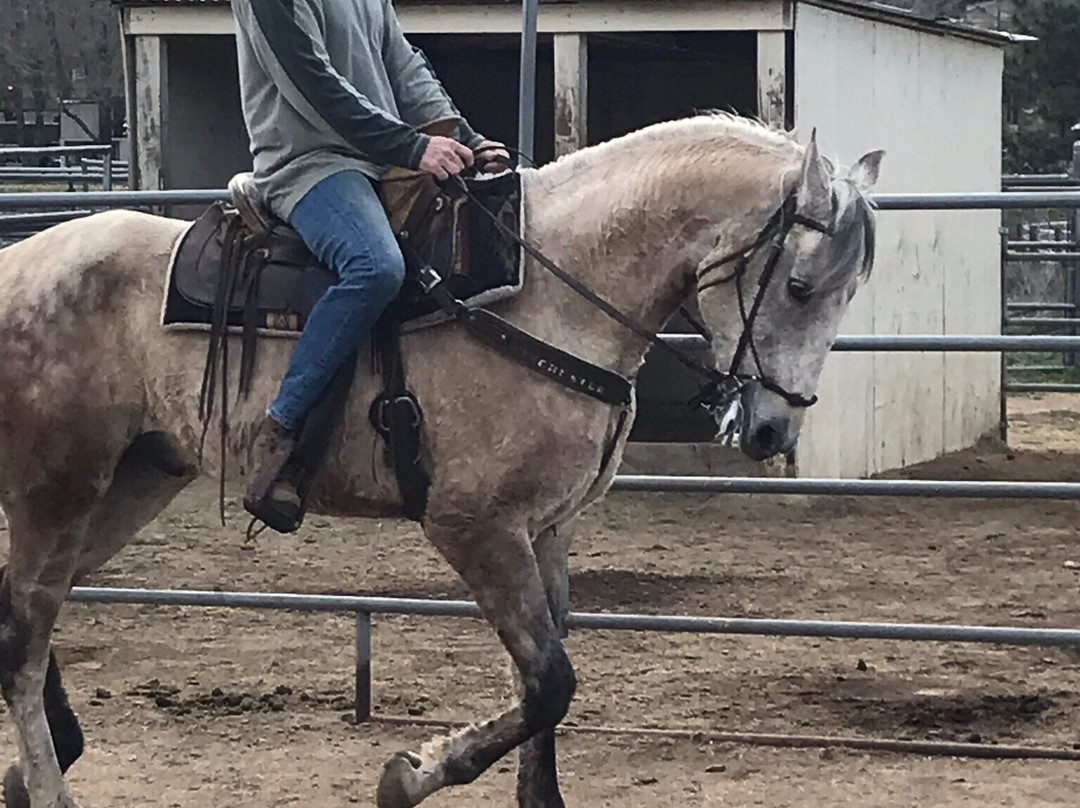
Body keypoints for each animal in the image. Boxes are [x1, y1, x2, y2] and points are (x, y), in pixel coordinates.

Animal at [0, 115, 876, 808]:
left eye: (846, 294)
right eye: (799, 285)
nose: (772, 432)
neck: (551, 297)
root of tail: (19, 265)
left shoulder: (547, 531)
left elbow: (541, 682)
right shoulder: (473, 526)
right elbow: (550, 682)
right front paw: (410, 774)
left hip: (133, 481)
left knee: (25, 612)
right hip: (57, 489)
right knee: (23, 634)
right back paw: (49, 783)